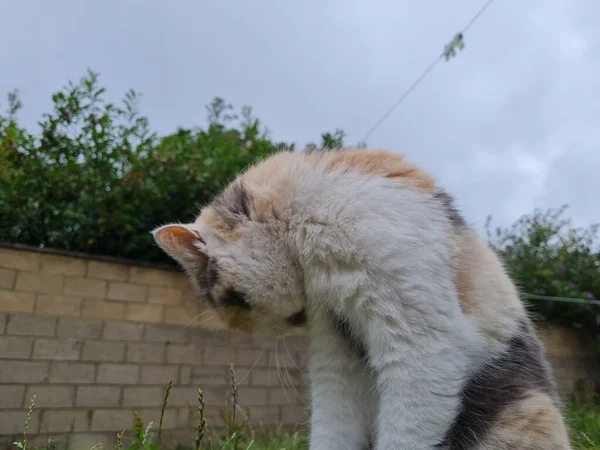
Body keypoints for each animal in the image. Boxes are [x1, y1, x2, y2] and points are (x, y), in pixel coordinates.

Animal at [151, 149, 572, 450]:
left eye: (234, 302)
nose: (262, 332)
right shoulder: (335, 353)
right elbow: (333, 427)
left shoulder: (422, 349)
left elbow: (406, 432)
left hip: (523, 411)